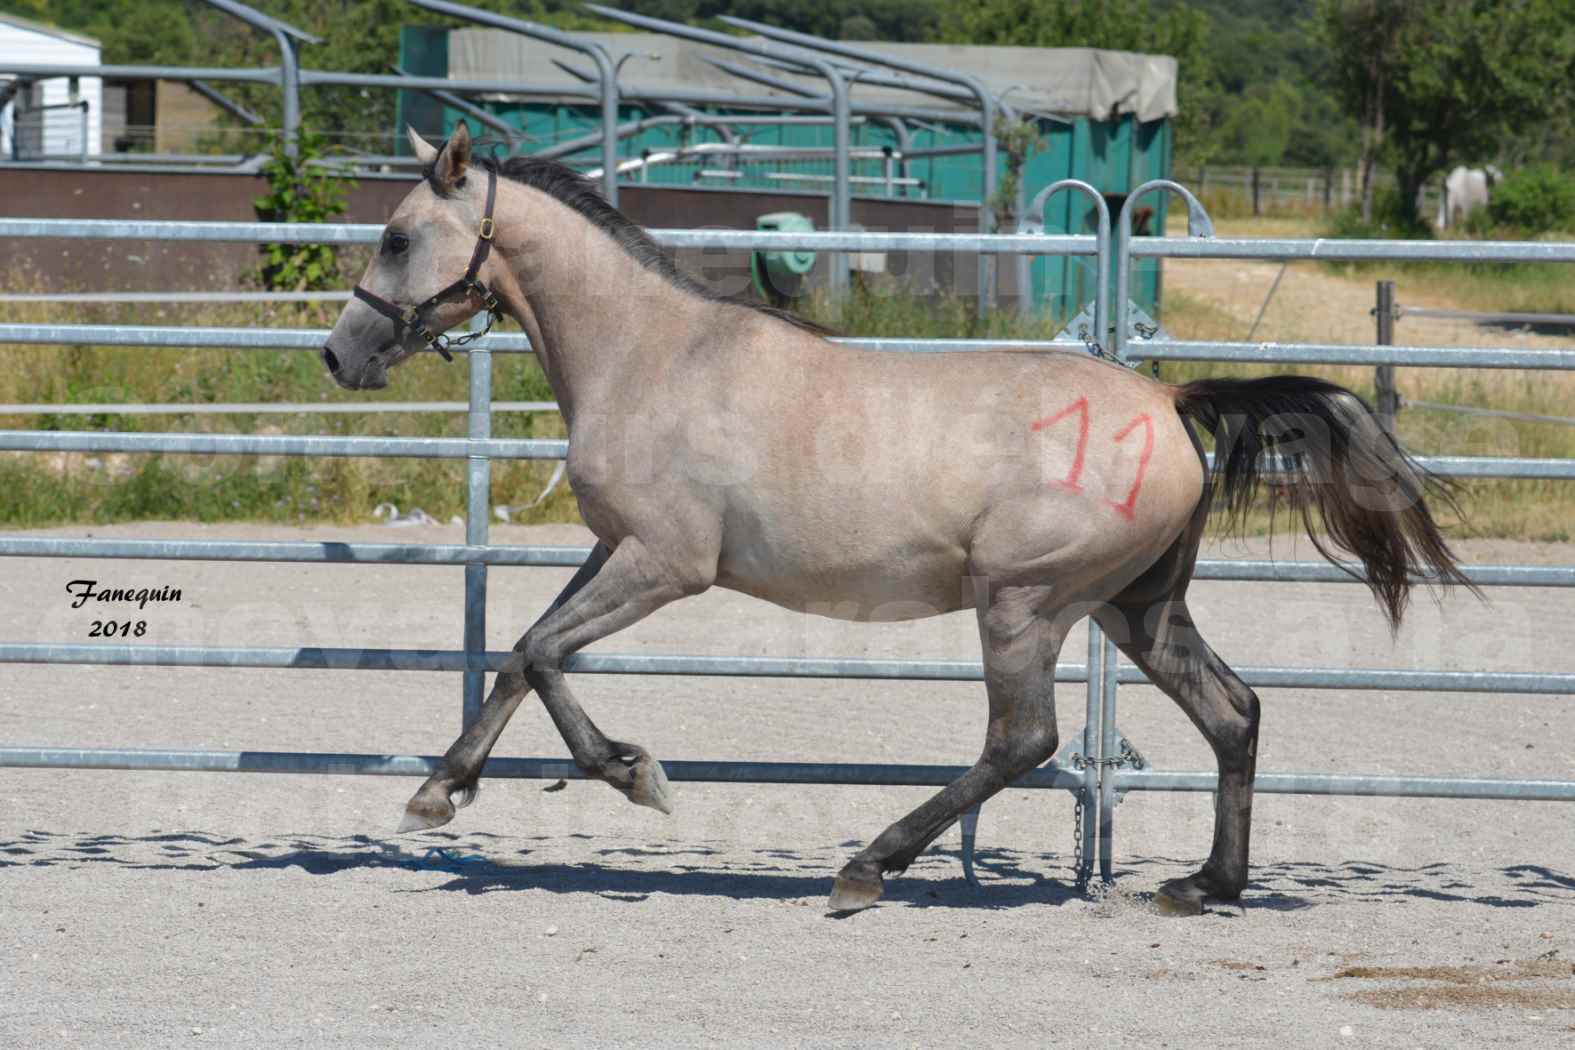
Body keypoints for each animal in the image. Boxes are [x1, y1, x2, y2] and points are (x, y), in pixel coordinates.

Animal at [313, 121, 1467, 913]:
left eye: (399, 236)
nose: (340, 354)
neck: (652, 355)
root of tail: (1172, 400)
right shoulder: (614, 547)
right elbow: (520, 649)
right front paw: (440, 790)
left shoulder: (667, 562)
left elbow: (549, 654)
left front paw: (636, 775)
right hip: (1137, 607)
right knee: (1232, 713)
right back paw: (1204, 885)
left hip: (1024, 602)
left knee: (1025, 738)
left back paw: (868, 866)